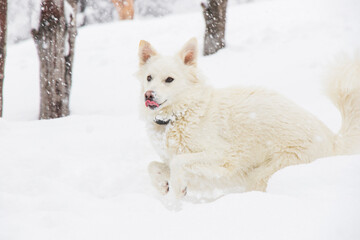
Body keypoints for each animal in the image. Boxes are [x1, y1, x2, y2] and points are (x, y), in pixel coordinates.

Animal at [136, 38, 360, 199]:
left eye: (169, 79)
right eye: (149, 78)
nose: (148, 95)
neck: (181, 114)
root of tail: (333, 140)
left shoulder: (222, 156)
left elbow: (178, 162)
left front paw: (175, 189)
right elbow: (153, 165)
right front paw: (164, 185)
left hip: (266, 172)